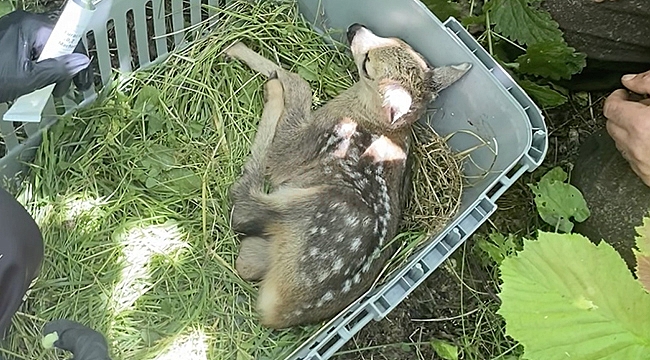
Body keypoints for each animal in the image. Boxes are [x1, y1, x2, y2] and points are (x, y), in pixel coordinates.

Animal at [225, 23, 468, 330]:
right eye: (397, 39)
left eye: (367, 64)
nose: (354, 27)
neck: (371, 117)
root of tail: (279, 313)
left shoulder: (311, 141)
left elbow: (300, 86)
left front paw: (241, 52)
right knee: (246, 262)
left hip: (315, 202)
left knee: (243, 207)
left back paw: (272, 89)